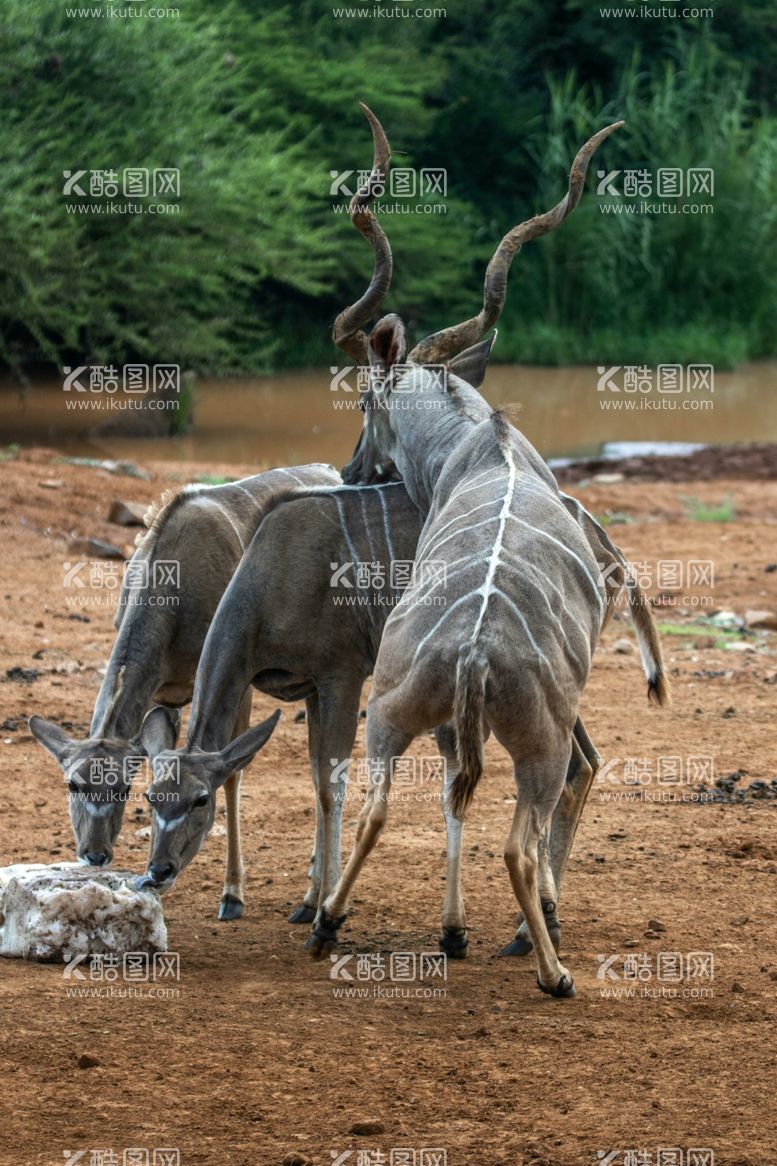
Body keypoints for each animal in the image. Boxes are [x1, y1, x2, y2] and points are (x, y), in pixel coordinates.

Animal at [27, 464, 338, 918]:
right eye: (73, 785)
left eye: (123, 789)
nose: (95, 854)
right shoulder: (162, 696)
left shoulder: (234, 678)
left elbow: (231, 776)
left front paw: (231, 894)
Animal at [303, 116, 667, 993]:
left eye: (363, 402)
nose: (352, 470)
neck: (482, 446)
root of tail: (472, 651)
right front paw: (469, 929)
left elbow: (443, 795)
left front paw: (454, 928)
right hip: (534, 735)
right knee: (530, 817)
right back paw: (545, 959)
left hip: (392, 713)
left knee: (388, 808)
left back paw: (331, 925)